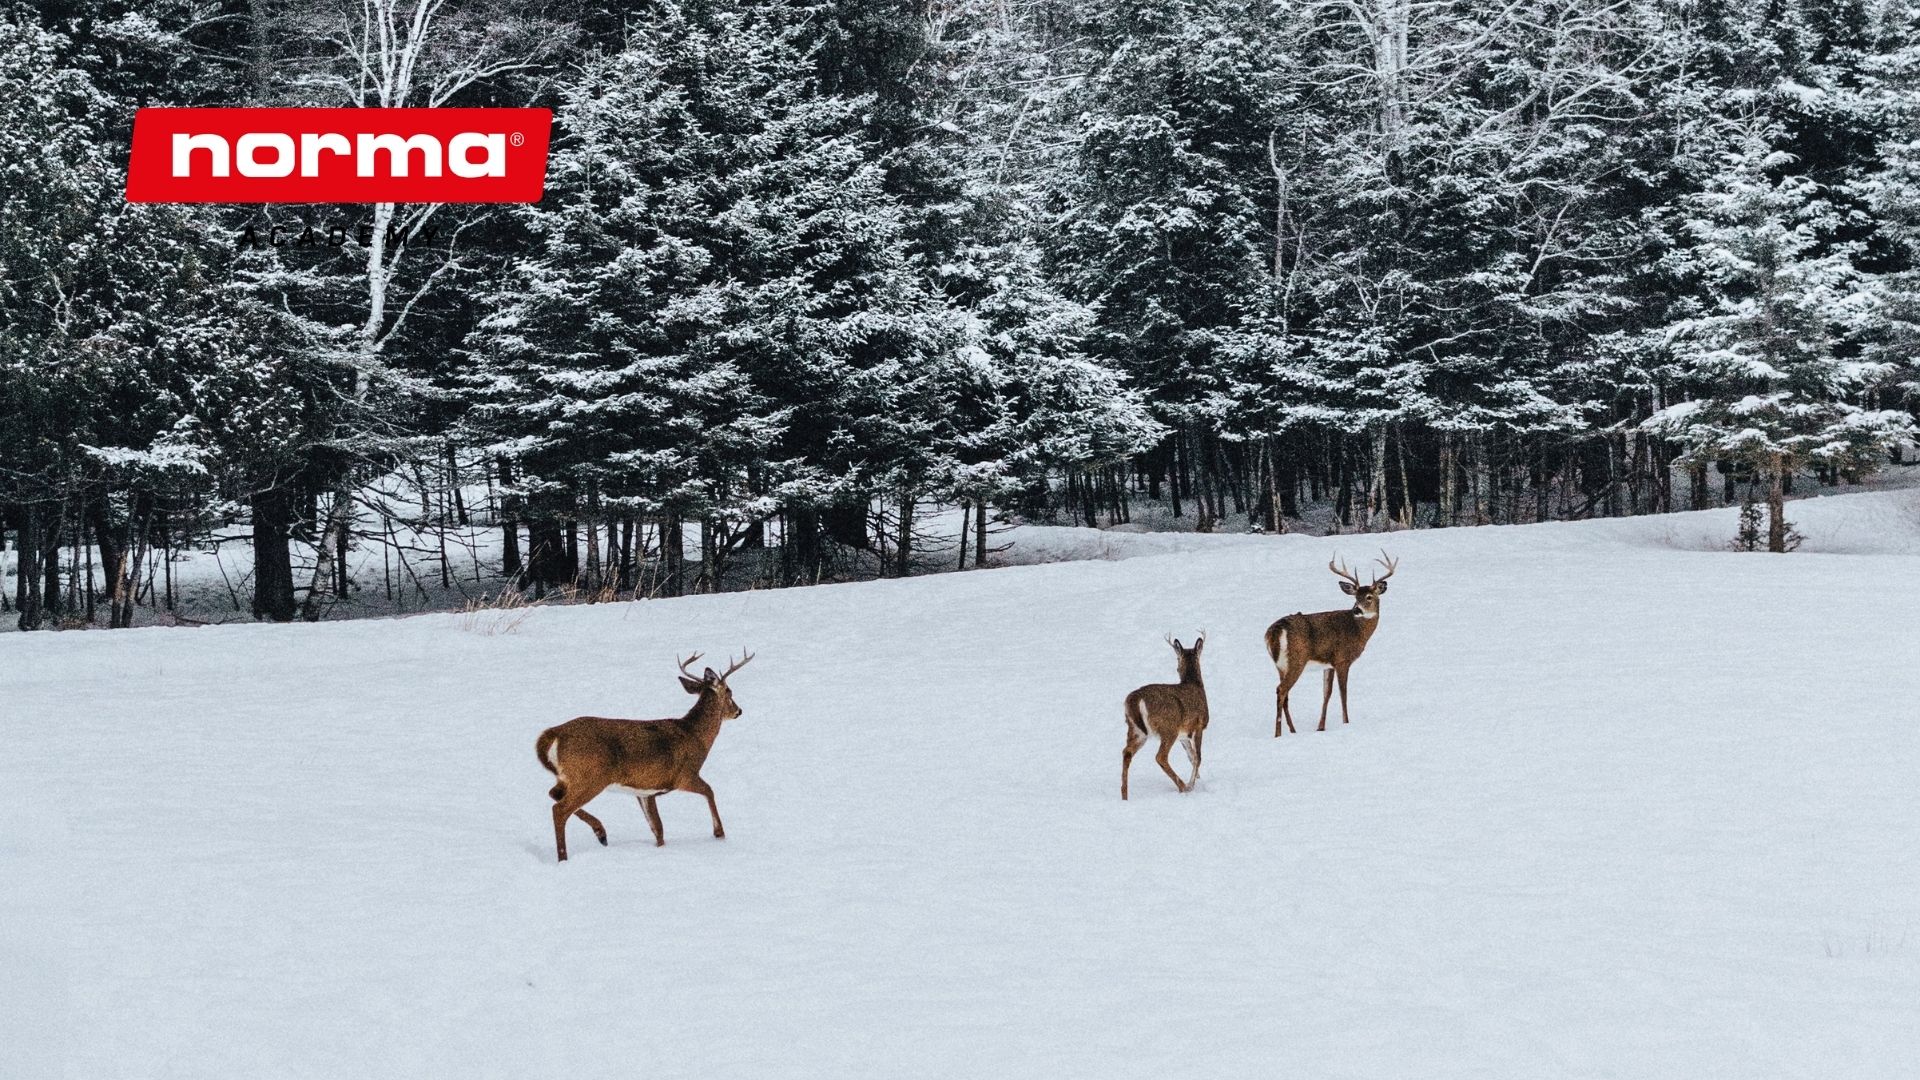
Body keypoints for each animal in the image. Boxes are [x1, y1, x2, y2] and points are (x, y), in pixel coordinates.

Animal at [541, 645, 756, 857]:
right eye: (729, 691)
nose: (739, 711)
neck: (695, 735)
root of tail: (554, 733)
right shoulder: (684, 775)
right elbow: (709, 791)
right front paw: (719, 834)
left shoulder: (646, 791)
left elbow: (657, 829)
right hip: (590, 776)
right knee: (559, 809)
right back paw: (566, 856)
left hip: (569, 777)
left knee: (553, 794)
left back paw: (600, 833)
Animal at [1121, 630, 1205, 799]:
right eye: (1177, 658)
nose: (1177, 669)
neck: (1194, 685)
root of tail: (1135, 699)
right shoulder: (1199, 725)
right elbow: (1198, 757)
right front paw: (1192, 785)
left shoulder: (1184, 735)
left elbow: (1191, 757)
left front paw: (1196, 780)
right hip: (1168, 727)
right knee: (1160, 756)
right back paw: (1183, 787)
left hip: (1136, 729)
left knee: (1126, 753)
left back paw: (1124, 795)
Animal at [1267, 549, 1405, 734]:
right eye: (1355, 597)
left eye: (1369, 597)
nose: (1356, 609)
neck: (1357, 631)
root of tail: (1275, 631)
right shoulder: (1342, 659)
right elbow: (1343, 693)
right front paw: (1346, 722)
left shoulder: (1328, 664)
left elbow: (1327, 693)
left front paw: (1321, 727)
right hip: (1297, 660)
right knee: (1281, 690)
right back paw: (1278, 734)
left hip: (1281, 665)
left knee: (1285, 694)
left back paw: (1293, 730)